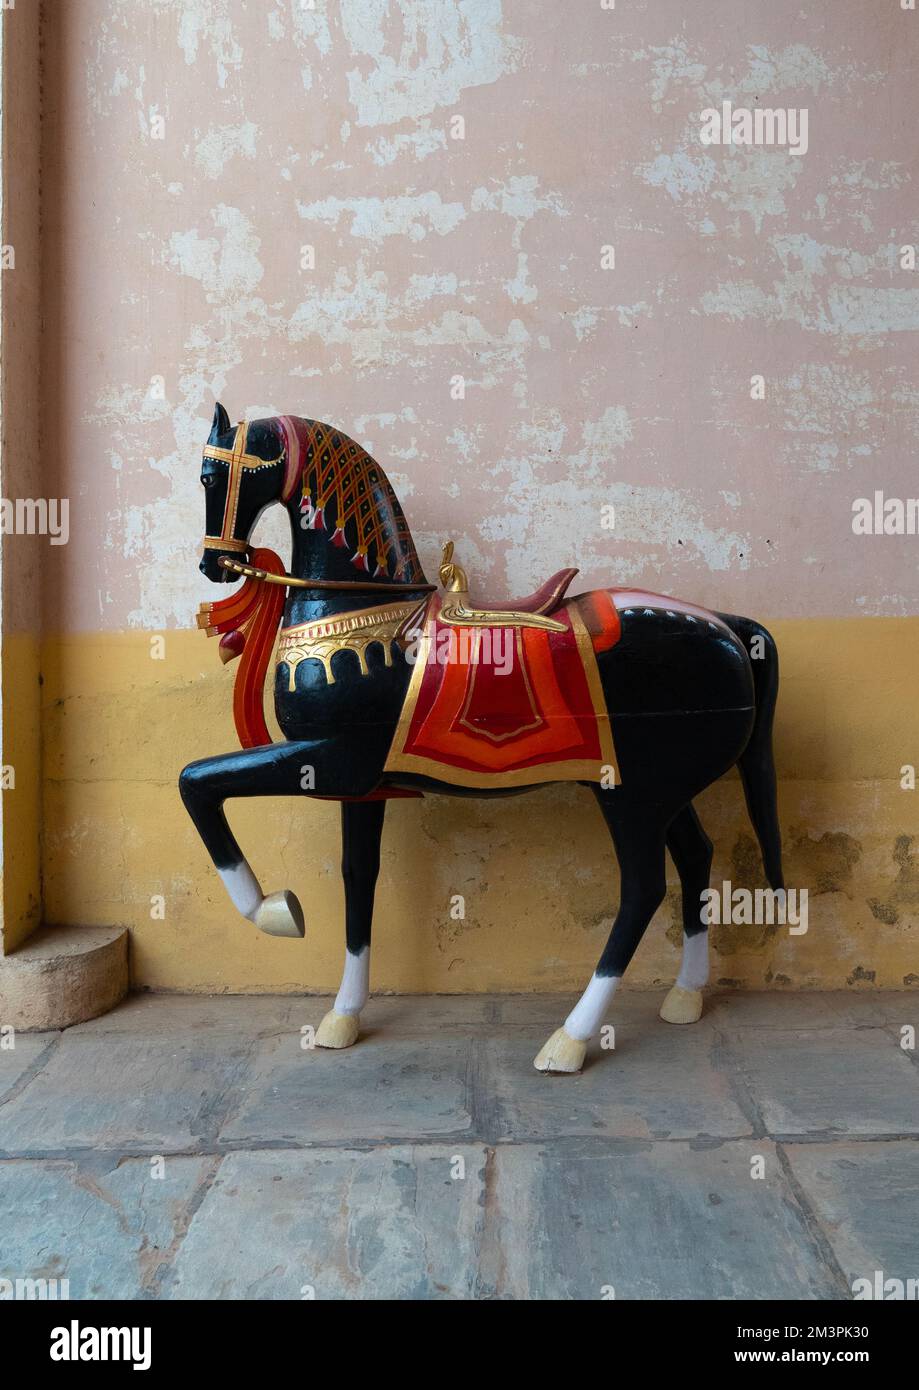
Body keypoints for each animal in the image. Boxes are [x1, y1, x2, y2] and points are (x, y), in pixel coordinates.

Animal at [180, 405, 784, 1073]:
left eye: (210, 478)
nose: (213, 565)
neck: (370, 619)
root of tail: (726, 626)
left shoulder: (331, 761)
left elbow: (197, 785)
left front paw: (273, 910)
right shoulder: (362, 786)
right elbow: (358, 878)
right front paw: (343, 1015)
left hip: (632, 795)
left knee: (645, 887)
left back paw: (570, 1039)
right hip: (662, 786)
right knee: (696, 855)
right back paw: (685, 996)